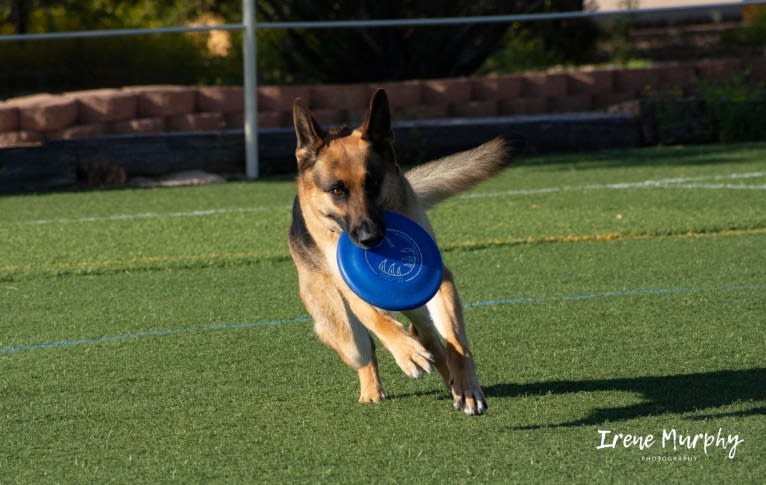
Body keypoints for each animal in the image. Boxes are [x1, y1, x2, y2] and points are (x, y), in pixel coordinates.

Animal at [288, 89, 510, 414]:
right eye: (337, 190)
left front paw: (468, 389)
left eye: (373, 183)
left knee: (430, 336)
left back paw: (446, 375)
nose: (370, 238)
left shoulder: (440, 278)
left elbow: (456, 340)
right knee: (364, 347)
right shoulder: (352, 289)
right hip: (341, 329)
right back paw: (374, 387)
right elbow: (376, 319)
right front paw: (407, 353)